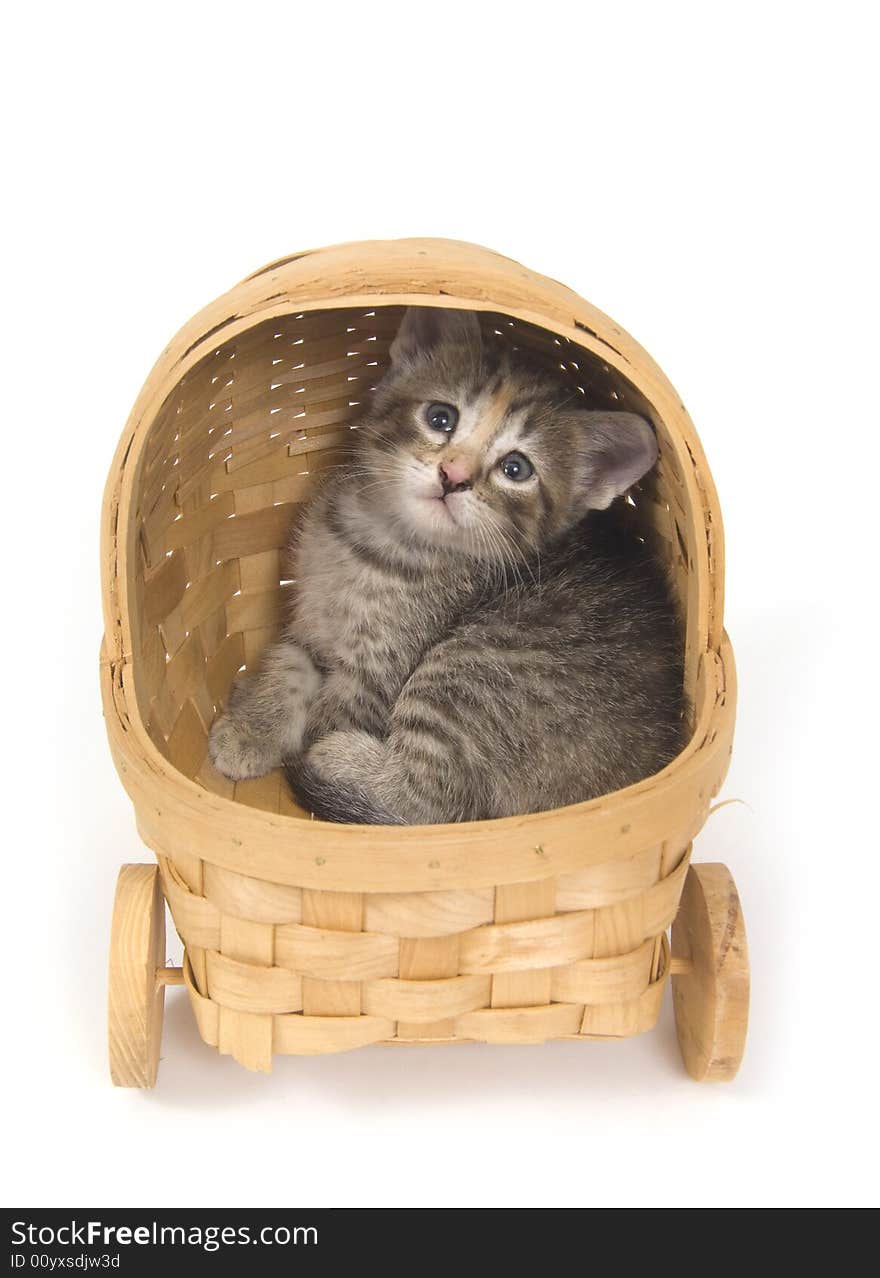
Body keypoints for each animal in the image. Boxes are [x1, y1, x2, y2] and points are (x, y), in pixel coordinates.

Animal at [208, 311, 684, 828]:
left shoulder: (374, 678)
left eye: (516, 469)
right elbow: (287, 664)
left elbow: (329, 716)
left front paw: (300, 743)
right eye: (441, 418)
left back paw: (339, 761)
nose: (453, 476)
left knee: (434, 805)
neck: (380, 543)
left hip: (469, 668)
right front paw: (250, 728)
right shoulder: (307, 623)